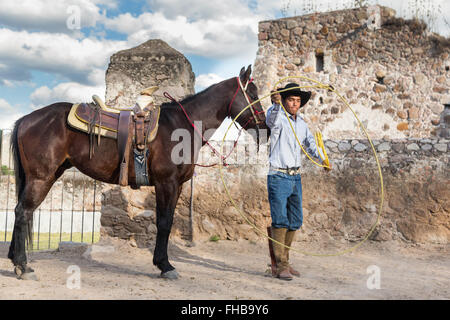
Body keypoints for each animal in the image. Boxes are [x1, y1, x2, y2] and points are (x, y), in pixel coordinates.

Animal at [7, 65, 268, 280]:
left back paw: (16, 261)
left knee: (22, 212)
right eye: (253, 95)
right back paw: (22, 266)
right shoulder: (166, 183)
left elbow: (167, 221)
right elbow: (164, 222)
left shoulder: (177, 186)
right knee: (22, 212)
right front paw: (165, 265)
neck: (180, 127)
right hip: (41, 178)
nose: (265, 127)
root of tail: (26, 119)